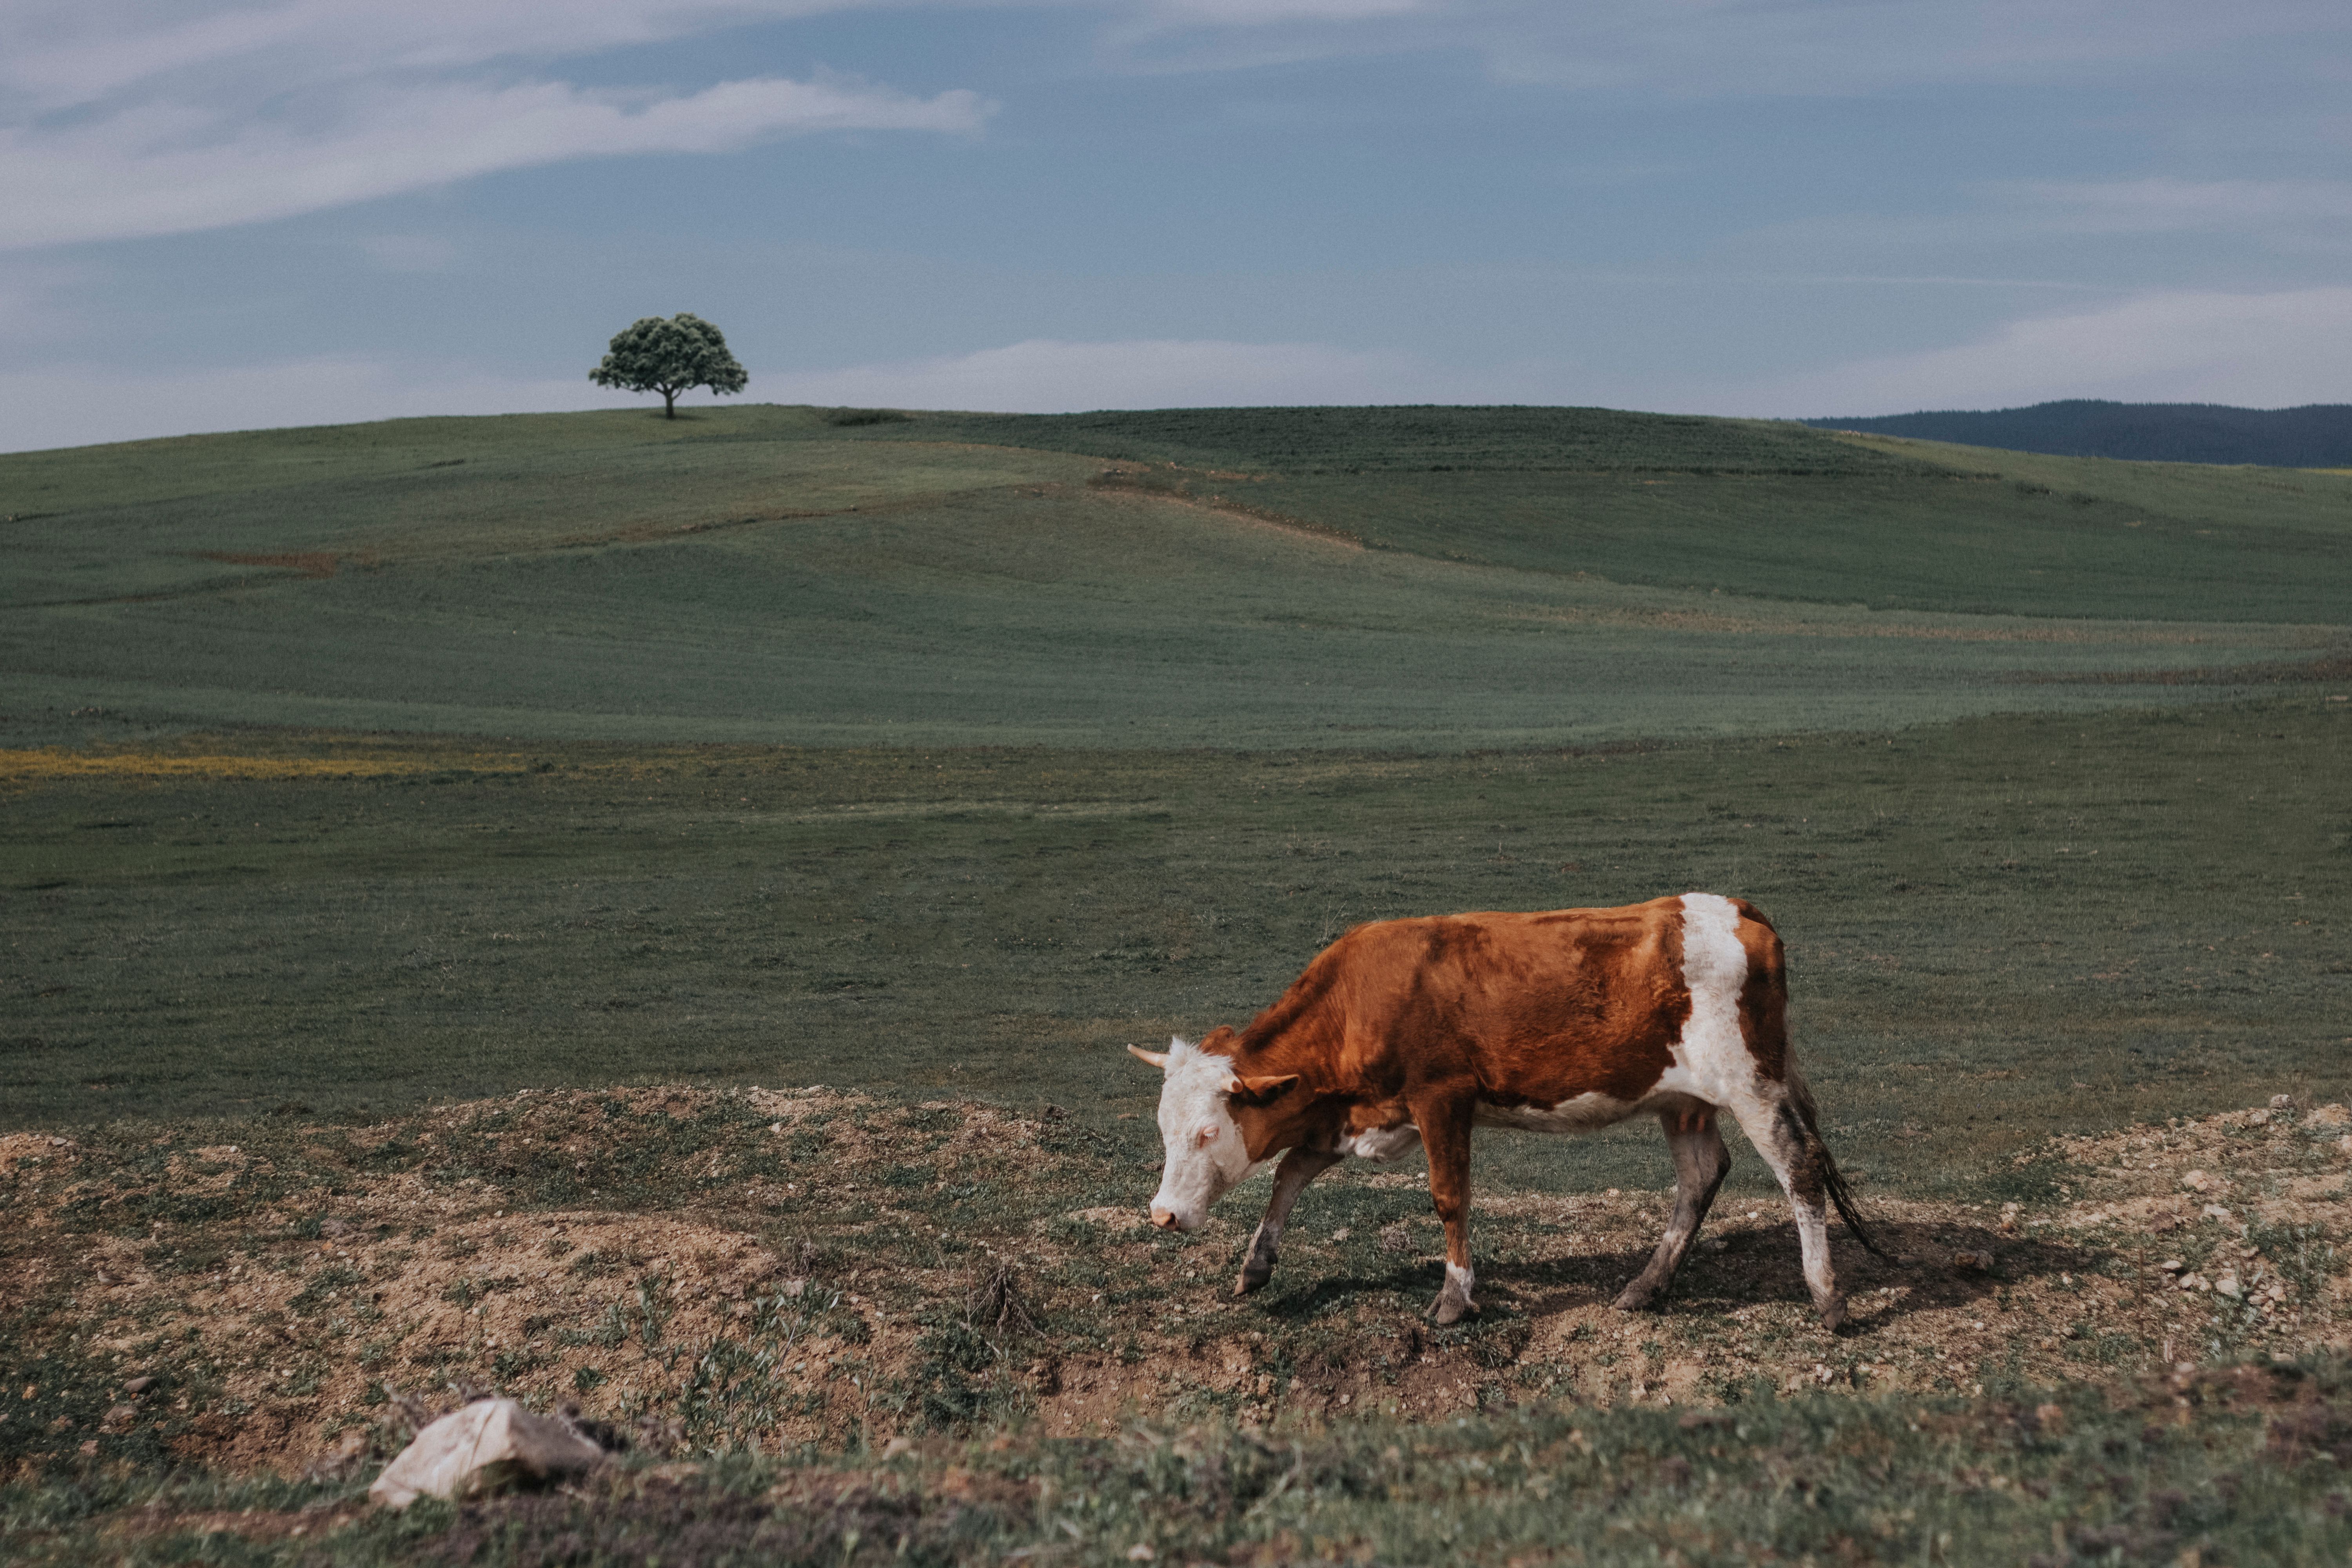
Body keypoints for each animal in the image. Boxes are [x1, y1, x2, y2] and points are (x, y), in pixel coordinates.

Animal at [1130, 893, 1880, 1328]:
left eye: (1206, 1132)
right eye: (1164, 1129)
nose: (1163, 1215)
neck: (1358, 999)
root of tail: (1739, 911)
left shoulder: (1441, 1098)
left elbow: (1450, 1198)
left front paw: (1455, 1297)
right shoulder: (1353, 1111)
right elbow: (1290, 1172)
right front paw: (1257, 1265)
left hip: (1753, 1082)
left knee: (1799, 1168)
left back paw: (1826, 1296)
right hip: (1685, 1099)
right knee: (1701, 1175)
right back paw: (1647, 1286)